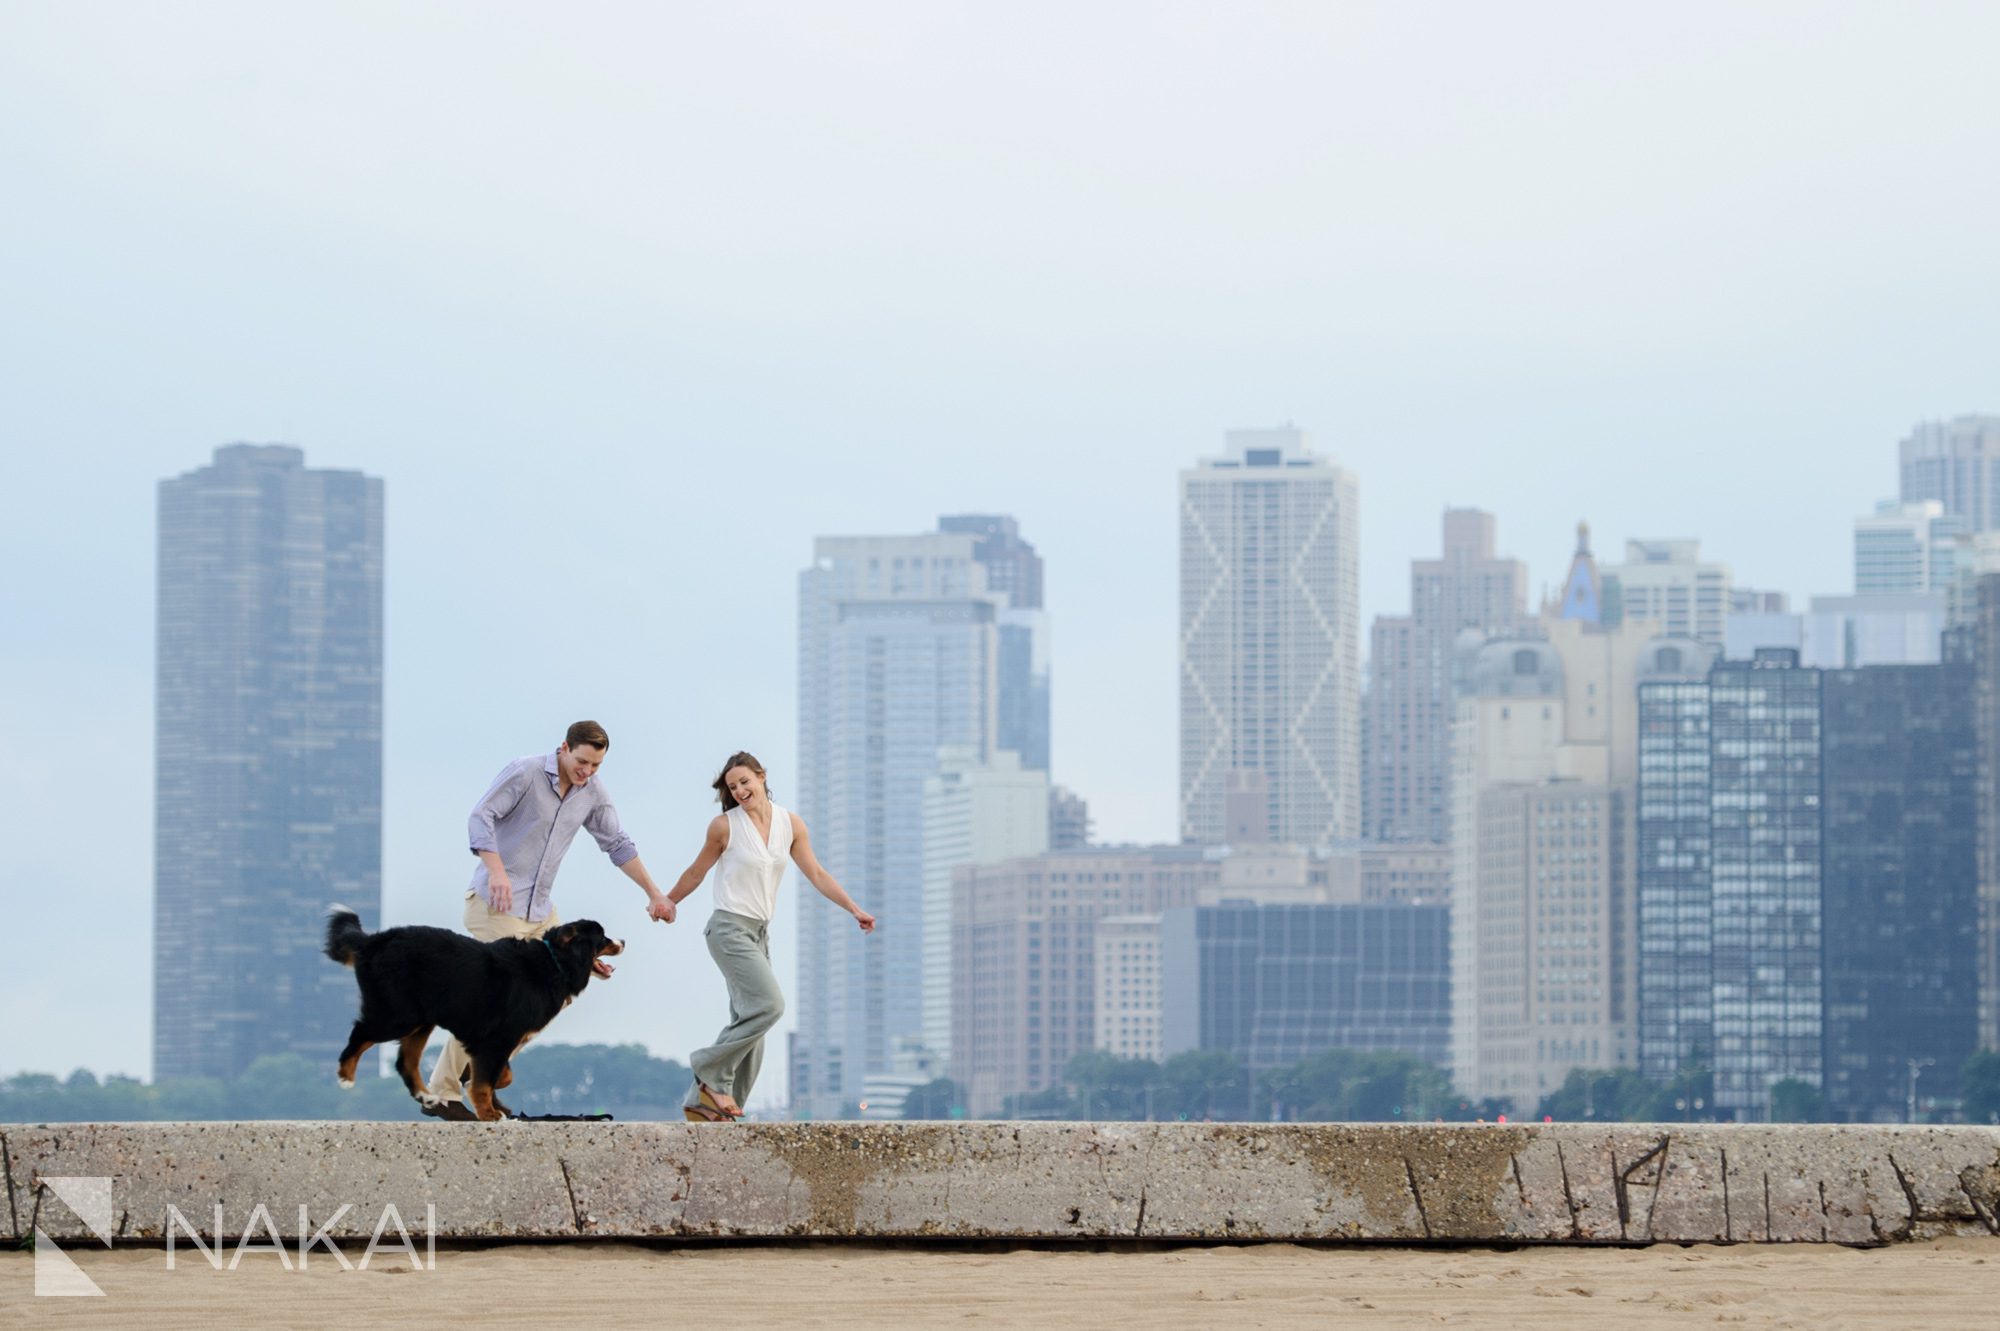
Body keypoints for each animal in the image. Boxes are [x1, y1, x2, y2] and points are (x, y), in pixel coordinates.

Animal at [324, 903, 620, 1119]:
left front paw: (487, 1097)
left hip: (421, 1019)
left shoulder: (494, 1040)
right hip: (398, 1015)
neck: (554, 961)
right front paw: (490, 1114)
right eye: (603, 937)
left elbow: (499, 1075)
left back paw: (426, 1096)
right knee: (361, 1032)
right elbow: (485, 1081)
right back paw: (345, 1077)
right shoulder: (500, 1037)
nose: (622, 941)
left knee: (405, 1061)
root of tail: (371, 941)